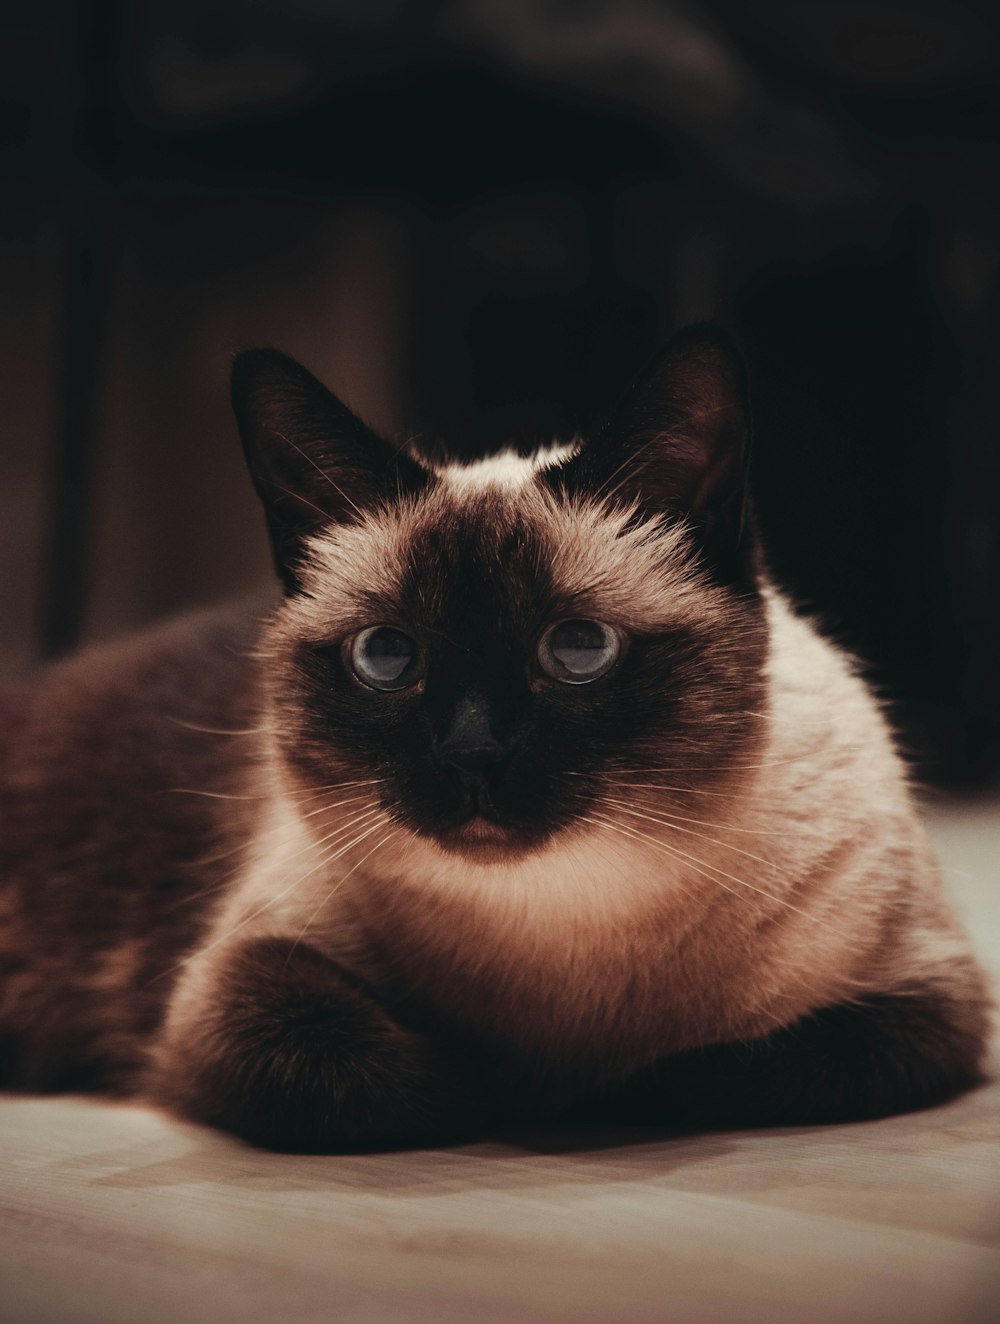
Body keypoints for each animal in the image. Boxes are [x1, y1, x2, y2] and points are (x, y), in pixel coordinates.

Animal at [0, 328, 990, 1149]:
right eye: (386, 656)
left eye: (579, 649)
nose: (471, 757)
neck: (562, 942)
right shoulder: (233, 987)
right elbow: (365, 1072)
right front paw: (498, 1091)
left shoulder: (921, 1005)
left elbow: (704, 1073)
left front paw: (578, 1098)